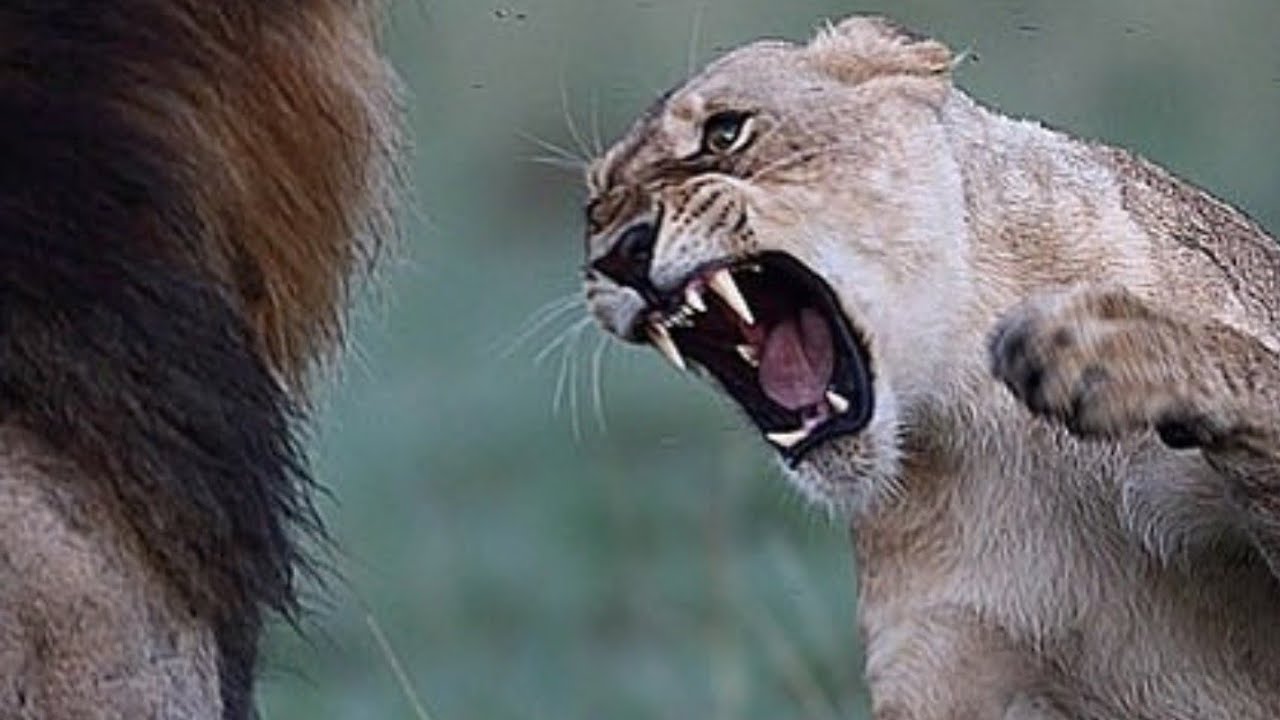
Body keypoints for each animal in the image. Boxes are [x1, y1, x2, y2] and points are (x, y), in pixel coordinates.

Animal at [582, 15, 1280, 719]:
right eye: (594, 206)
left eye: (725, 132)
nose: (617, 254)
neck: (979, 404)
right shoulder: (936, 654)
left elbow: (1253, 369)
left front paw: (1106, 342)